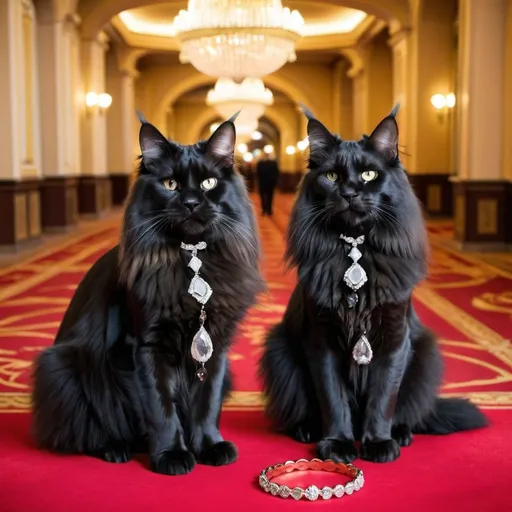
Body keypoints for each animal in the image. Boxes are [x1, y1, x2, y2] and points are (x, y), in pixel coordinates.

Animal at [32, 117, 264, 476]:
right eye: (170, 184)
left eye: (209, 182)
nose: (191, 202)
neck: (191, 257)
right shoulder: (144, 347)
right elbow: (160, 407)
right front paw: (172, 454)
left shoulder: (214, 346)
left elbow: (207, 403)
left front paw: (209, 446)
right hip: (64, 369)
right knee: (90, 425)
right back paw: (116, 448)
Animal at [260, 106, 488, 462]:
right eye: (332, 177)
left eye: (369, 175)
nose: (349, 193)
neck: (356, 249)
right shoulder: (321, 340)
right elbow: (333, 399)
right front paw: (337, 444)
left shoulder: (394, 339)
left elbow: (383, 398)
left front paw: (379, 443)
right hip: (279, 350)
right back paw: (307, 429)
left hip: (424, 354)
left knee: (406, 411)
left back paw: (401, 434)